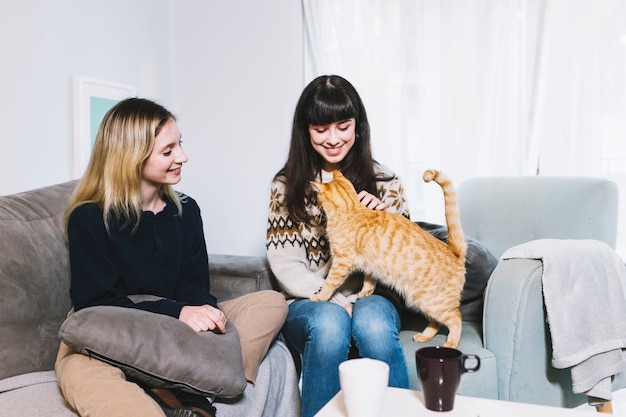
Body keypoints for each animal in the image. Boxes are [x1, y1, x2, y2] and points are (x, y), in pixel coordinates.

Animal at [310, 169, 466, 348]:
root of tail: (454, 252)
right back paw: (424, 336)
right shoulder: (370, 264)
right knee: (437, 322)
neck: (352, 209)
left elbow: (329, 283)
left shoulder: (341, 262)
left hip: (432, 302)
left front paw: (320, 297)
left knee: (456, 318)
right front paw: (365, 292)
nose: (315, 203)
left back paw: (451, 343)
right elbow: (369, 280)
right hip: (423, 303)